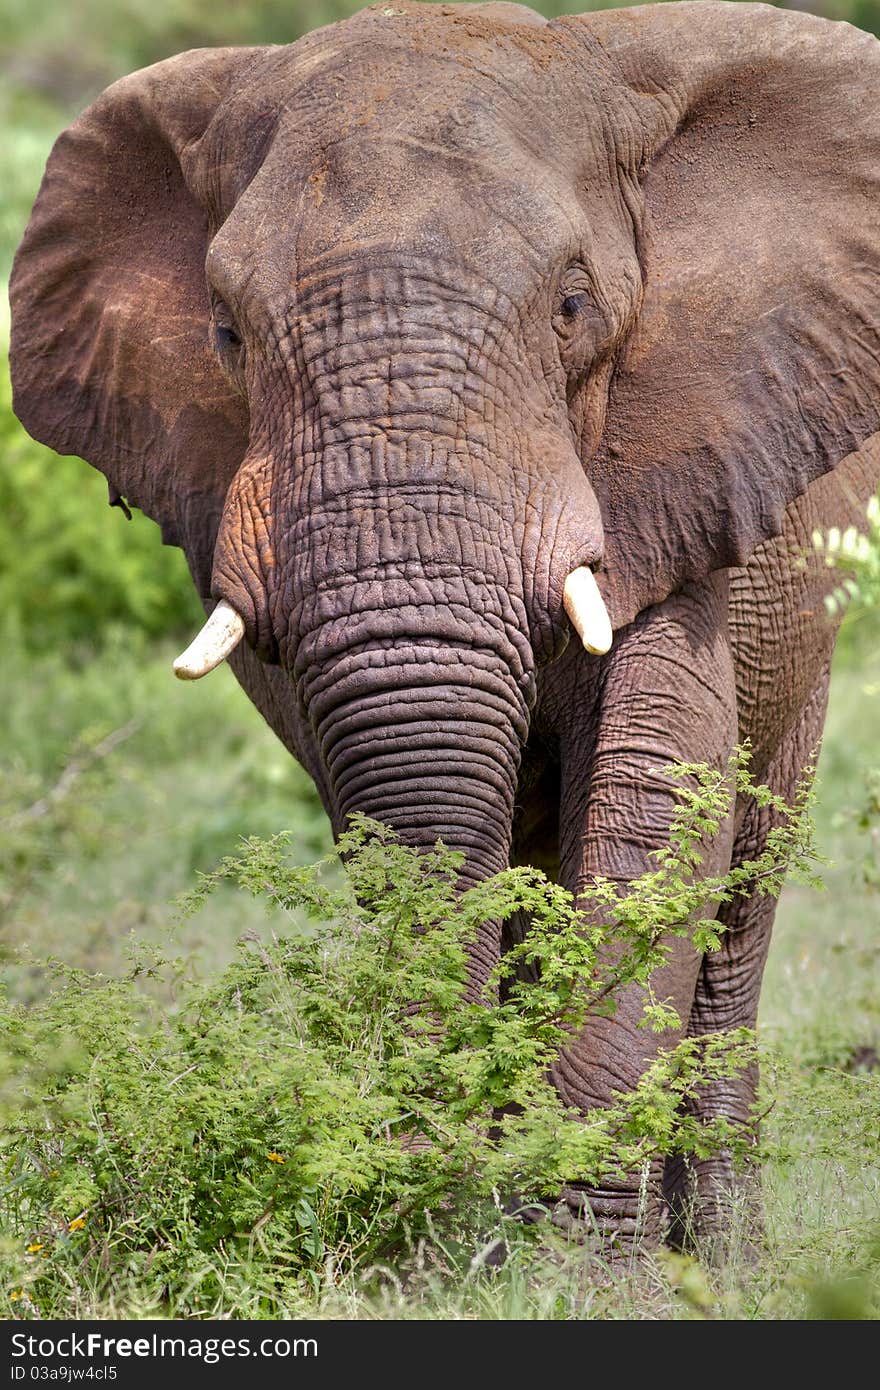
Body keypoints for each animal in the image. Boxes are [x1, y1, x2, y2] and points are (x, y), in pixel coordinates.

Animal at [10, 0, 878, 1256]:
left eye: (572, 307)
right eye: (225, 332)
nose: (441, 1201)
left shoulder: (683, 465)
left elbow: (657, 795)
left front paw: (577, 1263)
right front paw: (456, 1231)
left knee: (740, 903)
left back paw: (719, 1258)